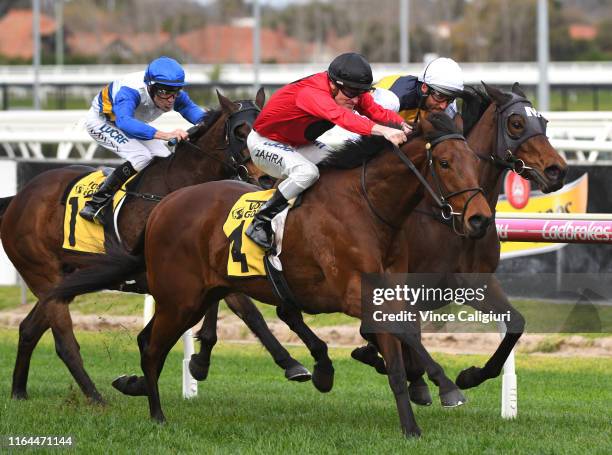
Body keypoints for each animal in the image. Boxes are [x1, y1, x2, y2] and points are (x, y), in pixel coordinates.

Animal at [3, 89, 310, 402]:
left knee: (28, 329)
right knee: (64, 341)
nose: (266, 177)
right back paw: (95, 397)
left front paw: (288, 363)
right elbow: (243, 308)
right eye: (240, 131)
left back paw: (19, 391)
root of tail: (18, 198)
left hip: (65, 281)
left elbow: (243, 310)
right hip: (43, 273)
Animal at [51, 112, 492, 436]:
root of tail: (163, 206)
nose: (480, 219)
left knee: (148, 340)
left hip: (195, 296)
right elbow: (399, 337)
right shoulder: (353, 292)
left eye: (475, 161)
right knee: (152, 348)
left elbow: (401, 349)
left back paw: (139, 390)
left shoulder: (388, 289)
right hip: (180, 298)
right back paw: (157, 416)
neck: (367, 205)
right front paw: (447, 388)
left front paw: (412, 423)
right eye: (445, 163)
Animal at [354, 83, 568, 400]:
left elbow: (515, 323)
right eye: (516, 123)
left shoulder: (475, 282)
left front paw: (470, 375)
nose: (557, 170)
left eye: (544, 122)